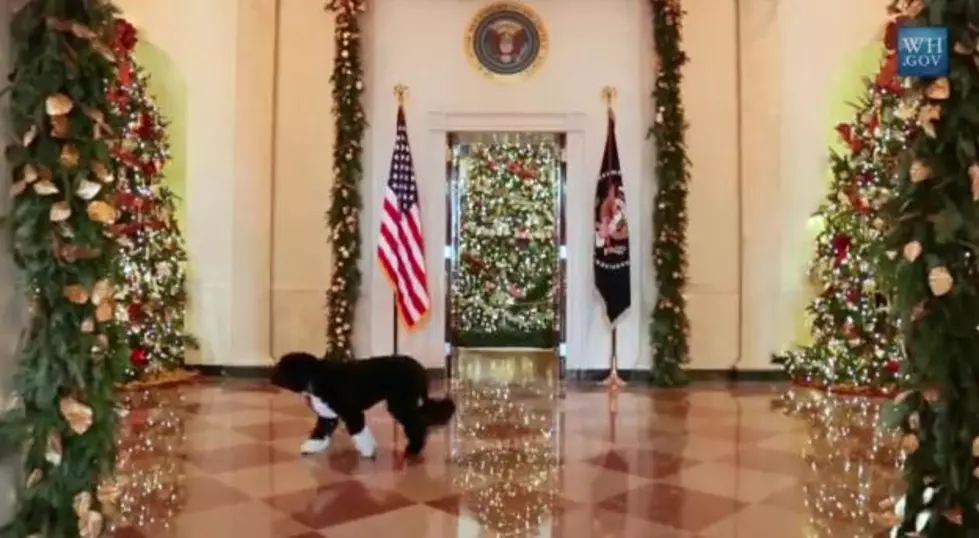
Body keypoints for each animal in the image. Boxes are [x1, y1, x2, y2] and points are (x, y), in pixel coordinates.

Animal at [270, 352, 458, 456]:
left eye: (282, 367)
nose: (271, 374)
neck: (314, 376)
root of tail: (419, 368)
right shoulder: (327, 415)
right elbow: (320, 432)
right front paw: (312, 447)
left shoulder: (351, 411)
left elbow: (359, 432)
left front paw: (368, 450)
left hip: (401, 403)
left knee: (417, 424)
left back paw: (413, 449)